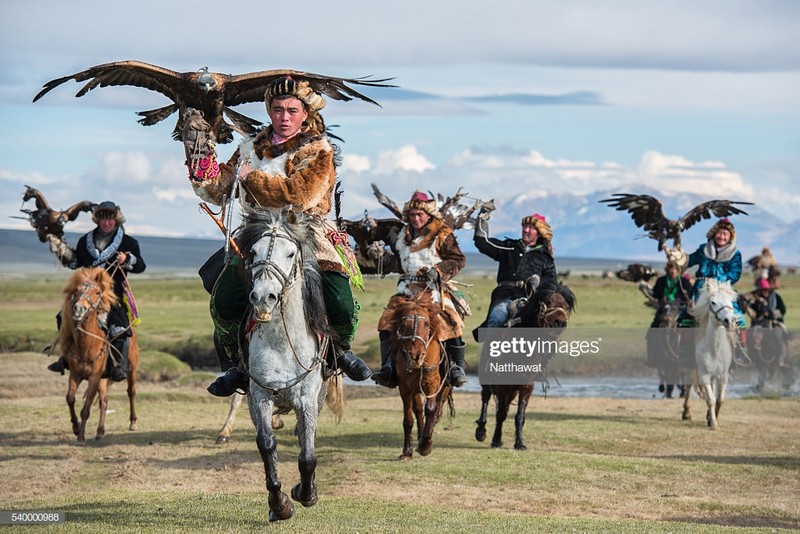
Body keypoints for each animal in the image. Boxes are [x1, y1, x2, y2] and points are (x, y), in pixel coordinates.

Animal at [59, 268, 139, 444]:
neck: (87, 346)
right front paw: (76, 428)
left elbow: (86, 408)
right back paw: (100, 431)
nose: (79, 309)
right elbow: (70, 398)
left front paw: (81, 437)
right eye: (77, 291)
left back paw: (133, 422)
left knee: (131, 392)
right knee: (104, 400)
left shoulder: (94, 377)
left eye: (97, 292)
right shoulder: (75, 373)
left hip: (131, 368)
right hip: (104, 377)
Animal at [238, 210, 338, 524]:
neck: (281, 343)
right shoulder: (260, 396)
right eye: (253, 252)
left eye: (291, 253)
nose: (263, 297)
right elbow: (266, 445)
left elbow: (307, 454)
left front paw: (306, 494)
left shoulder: (307, 399)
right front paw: (279, 503)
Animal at [390, 294, 454, 460]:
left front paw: (426, 445)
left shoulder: (432, 383)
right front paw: (407, 451)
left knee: (436, 409)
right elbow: (408, 418)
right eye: (403, 325)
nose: (416, 355)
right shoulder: (405, 387)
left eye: (426, 324)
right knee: (418, 409)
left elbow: (431, 409)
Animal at [476, 284, 576, 452]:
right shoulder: (502, 386)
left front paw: (519, 443)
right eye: (547, 302)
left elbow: (519, 416)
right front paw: (496, 440)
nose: (559, 323)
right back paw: (481, 431)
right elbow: (501, 413)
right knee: (485, 397)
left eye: (566, 306)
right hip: (486, 378)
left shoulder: (526, 386)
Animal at [688, 280, 736, 432]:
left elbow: (720, 399)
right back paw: (686, 413)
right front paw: (713, 423)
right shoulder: (704, 374)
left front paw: (712, 418)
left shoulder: (724, 374)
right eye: (713, 302)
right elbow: (710, 399)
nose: (729, 320)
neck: (715, 349)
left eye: (731, 301)